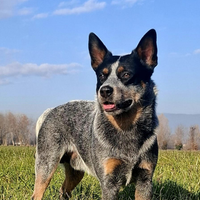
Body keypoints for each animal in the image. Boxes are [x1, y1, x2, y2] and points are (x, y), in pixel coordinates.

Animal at [32, 28, 159, 200]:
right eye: (101, 75)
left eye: (126, 74)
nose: (104, 90)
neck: (126, 128)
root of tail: (51, 110)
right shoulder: (108, 182)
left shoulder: (145, 180)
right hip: (46, 163)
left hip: (75, 171)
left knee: (64, 190)